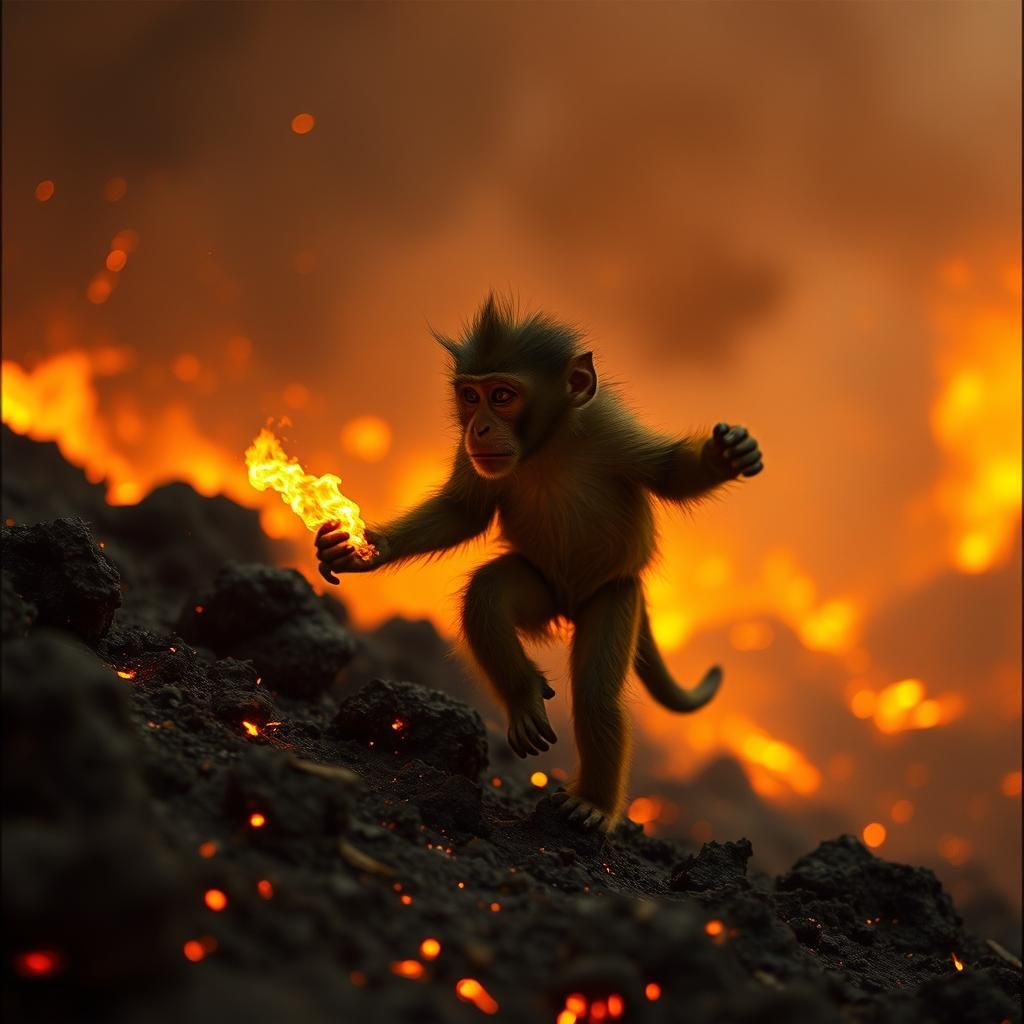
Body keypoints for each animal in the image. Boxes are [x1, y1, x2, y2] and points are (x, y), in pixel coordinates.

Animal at [315, 295, 763, 831]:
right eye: (470, 396)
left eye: (502, 395)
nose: (479, 427)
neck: (547, 446)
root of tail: (565, 607)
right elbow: (464, 514)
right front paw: (369, 549)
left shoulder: (609, 430)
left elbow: (669, 474)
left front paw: (724, 456)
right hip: (542, 588)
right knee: (488, 593)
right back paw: (524, 695)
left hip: (614, 593)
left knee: (595, 693)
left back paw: (593, 802)